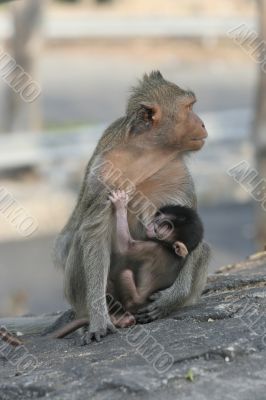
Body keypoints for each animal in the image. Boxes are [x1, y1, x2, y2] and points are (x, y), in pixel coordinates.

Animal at [55, 71, 211, 344]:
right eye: (189, 107)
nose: (202, 124)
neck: (146, 153)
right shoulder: (104, 172)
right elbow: (94, 233)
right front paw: (99, 320)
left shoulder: (178, 175)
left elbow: (195, 233)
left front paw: (171, 299)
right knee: (79, 242)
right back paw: (106, 317)